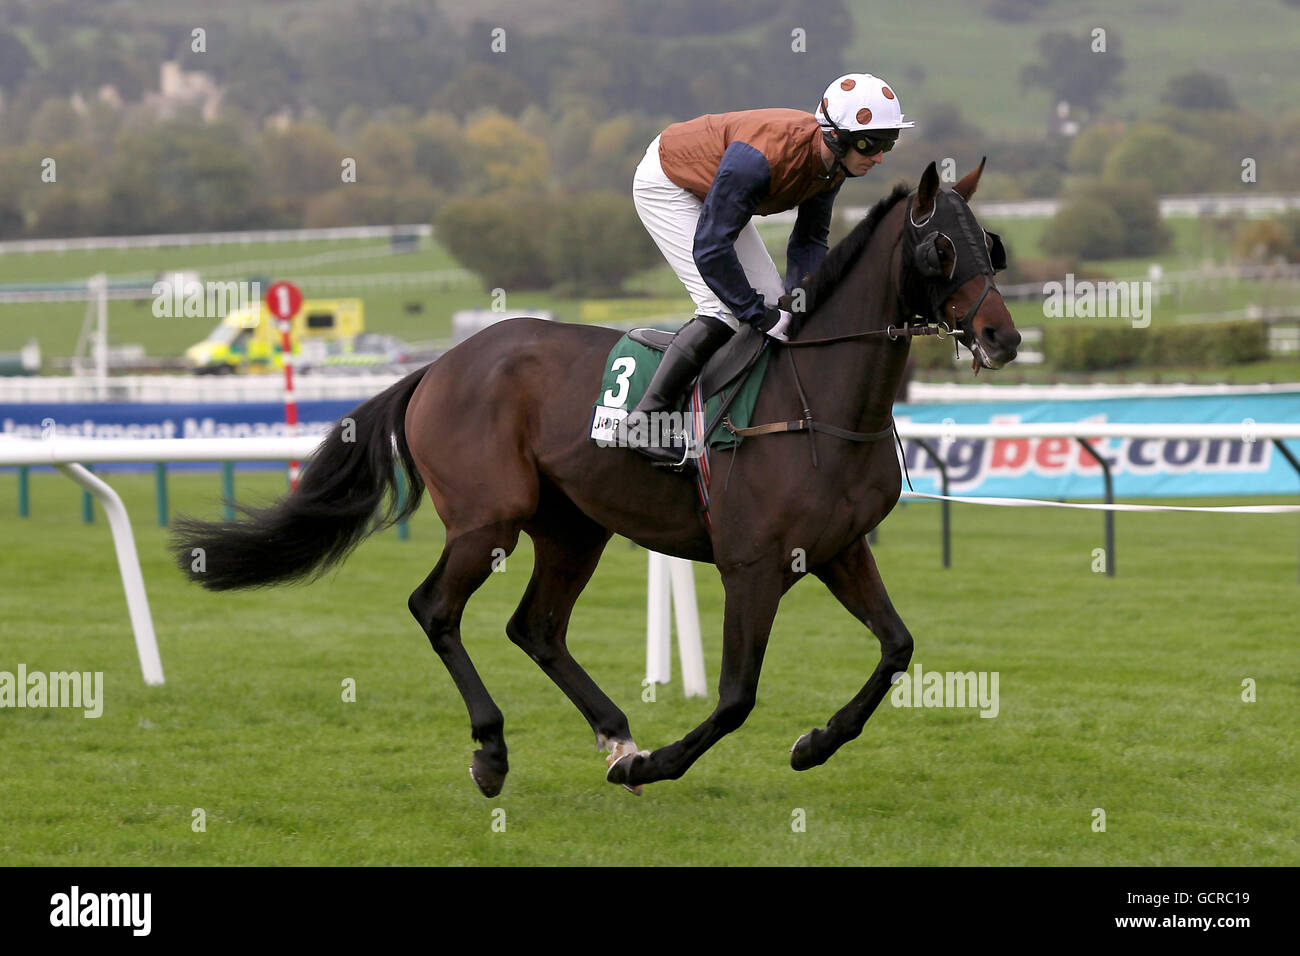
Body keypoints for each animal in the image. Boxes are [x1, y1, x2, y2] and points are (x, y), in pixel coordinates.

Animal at [170, 160, 1013, 796]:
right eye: (943, 247)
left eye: (993, 246)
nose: (1003, 337)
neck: (816, 397)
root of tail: (437, 367)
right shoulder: (752, 564)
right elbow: (736, 696)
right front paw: (659, 764)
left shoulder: (839, 549)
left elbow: (897, 647)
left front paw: (815, 743)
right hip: (490, 515)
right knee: (435, 608)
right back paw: (494, 750)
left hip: (573, 526)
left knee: (535, 627)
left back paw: (614, 733)